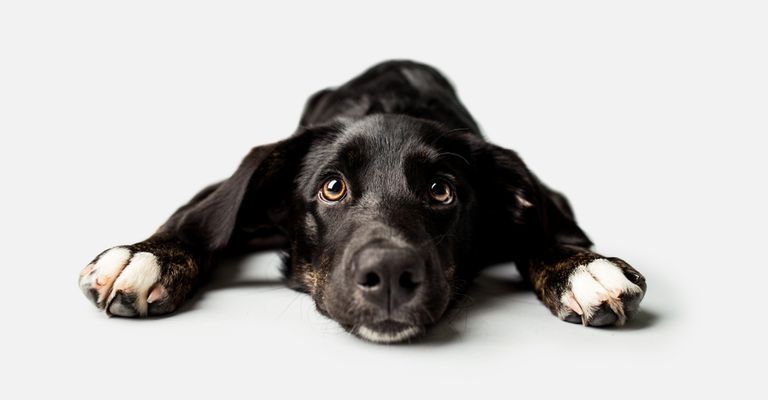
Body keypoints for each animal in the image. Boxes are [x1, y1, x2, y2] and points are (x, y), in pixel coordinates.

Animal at [78, 60, 644, 344]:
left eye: (441, 190)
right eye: (332, 187)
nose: (390, 274)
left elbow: (542, 234)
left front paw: (581, 266)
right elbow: (196, 220)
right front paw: (145, 257)